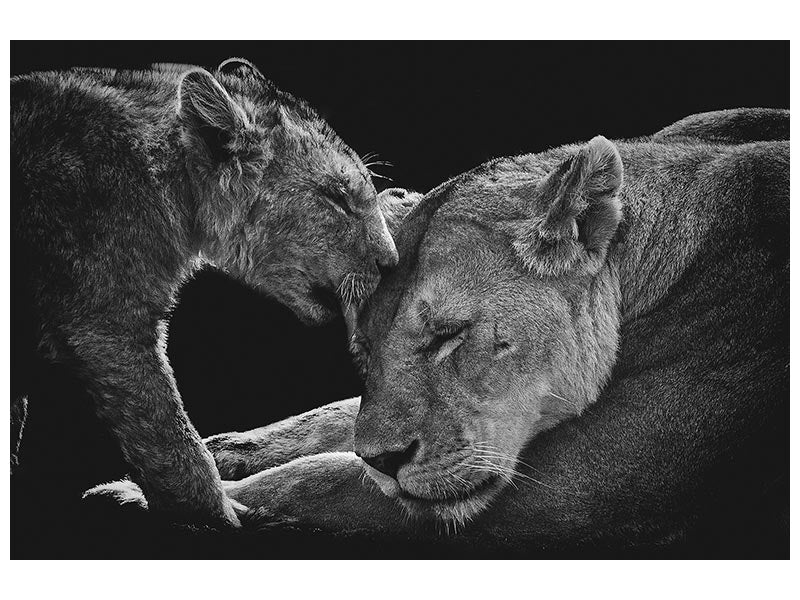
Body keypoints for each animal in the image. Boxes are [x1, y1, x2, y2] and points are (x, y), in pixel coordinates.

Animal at [91, 109, 789, 553]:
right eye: (364, 351)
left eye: (450, 335)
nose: (385, 461)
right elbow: (335, 418)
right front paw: (224, 451)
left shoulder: (584, 490)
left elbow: (322, 480)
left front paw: (152, 496)